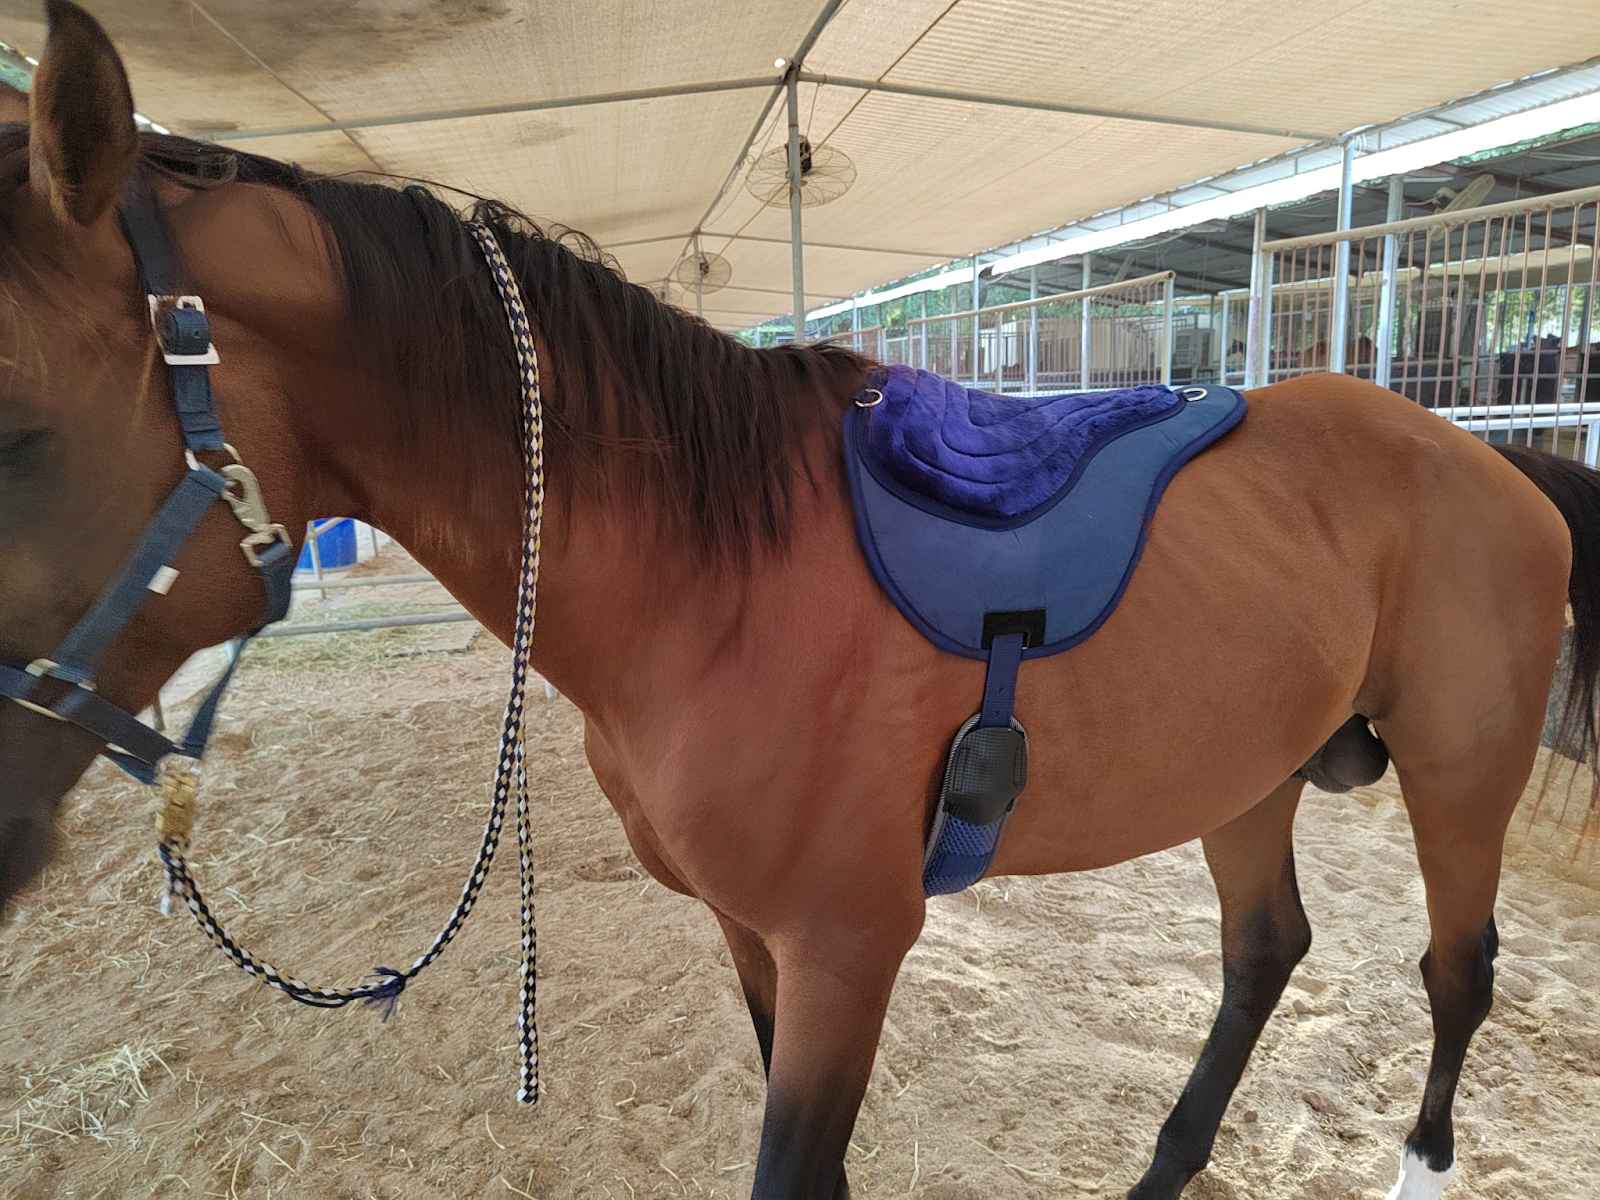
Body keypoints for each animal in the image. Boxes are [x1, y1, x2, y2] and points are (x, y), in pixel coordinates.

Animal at [3, 6, 1598, 1198]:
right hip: (1249, 770)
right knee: (1265, 954)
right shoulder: (752, 938)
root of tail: (1490, 462)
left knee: (1457, 973)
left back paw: (1419, 1167)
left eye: (19, 432)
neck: (717, 583)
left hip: (1459, 773)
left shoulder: (848, 950)